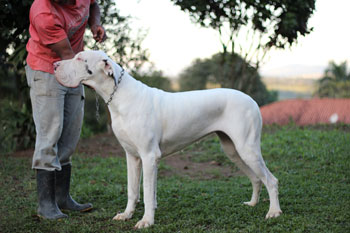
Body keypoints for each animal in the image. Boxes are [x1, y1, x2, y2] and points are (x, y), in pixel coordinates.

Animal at [56, 50, 284, 228]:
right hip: (233, 151)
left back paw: (273, 211)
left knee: (271, 180)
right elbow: (133, 190)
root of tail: (252, 100)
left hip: (247, 149)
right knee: (257, 178)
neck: (121, 96)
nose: (55, 64)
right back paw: (253, 203)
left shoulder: (149, 156)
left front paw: (146, 221)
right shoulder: (132, 156)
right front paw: (127, 214)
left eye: (79, 58)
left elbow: (147, 193)